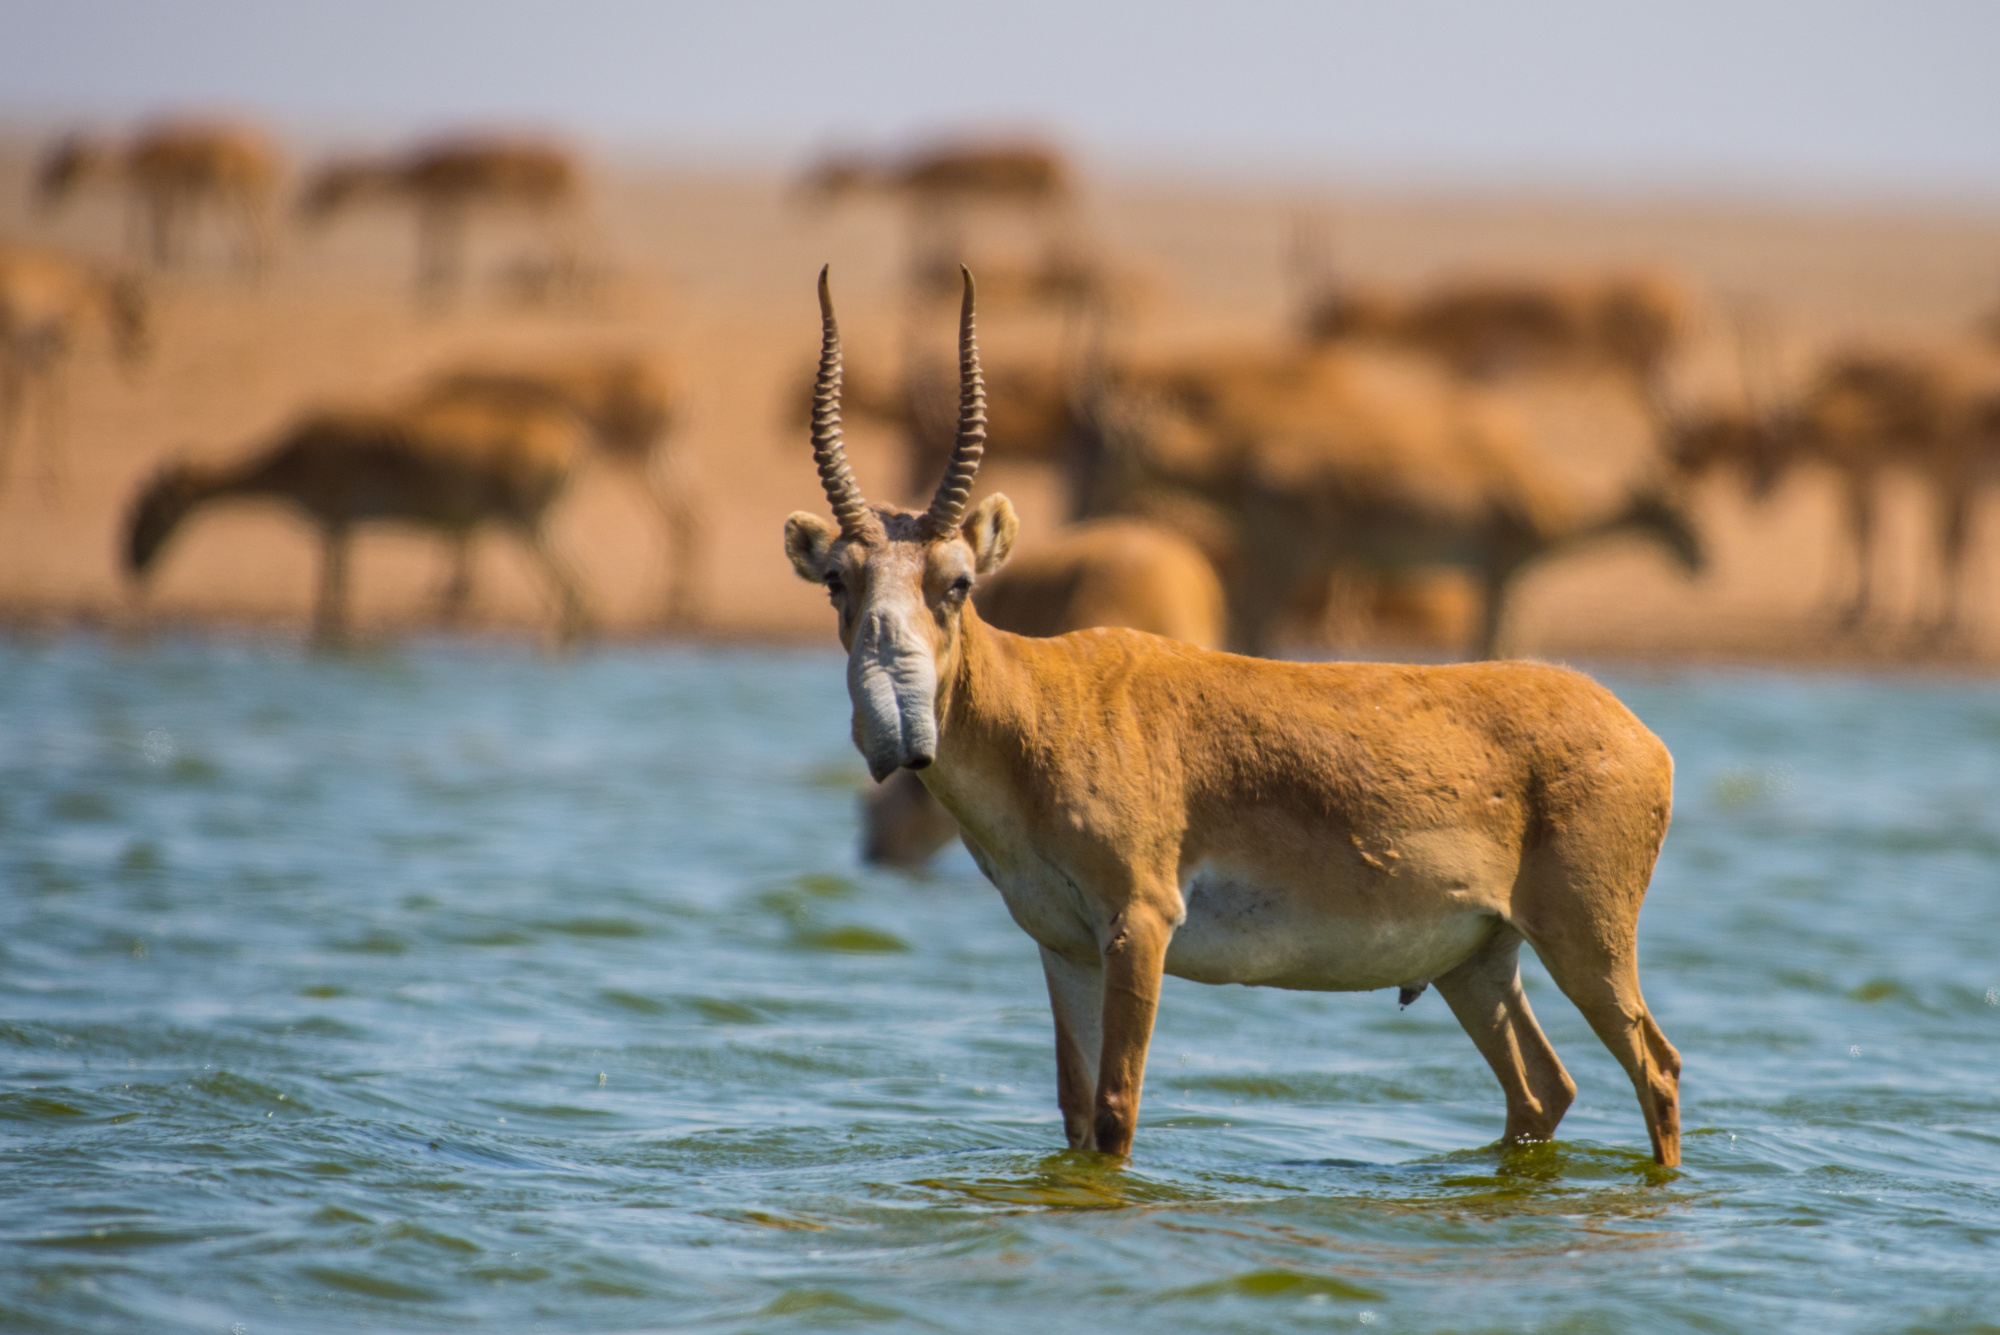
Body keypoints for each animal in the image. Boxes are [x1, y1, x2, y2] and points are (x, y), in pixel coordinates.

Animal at [37, 119, 280, 275]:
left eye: (64, 168)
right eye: (55, 167)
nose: (44, 190)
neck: (138, 158)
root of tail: (264, 155)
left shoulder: (160, 188)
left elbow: (157, 221)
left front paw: (159, 258)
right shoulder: (165, 191)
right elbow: (165, 222)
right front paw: (169, 257)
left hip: (240, 192)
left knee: (257, 220)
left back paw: (254, 262)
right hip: (244, 194)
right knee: (261, 219)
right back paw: (258, 261)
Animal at [414, 353, 704, 627]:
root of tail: (678, 382)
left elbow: (464, 534)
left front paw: (455, 595)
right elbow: (464, 532)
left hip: (639, 461)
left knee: (679, 517)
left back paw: (662, 603)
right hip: (654, 461)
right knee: (689, 516)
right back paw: (674, 603)